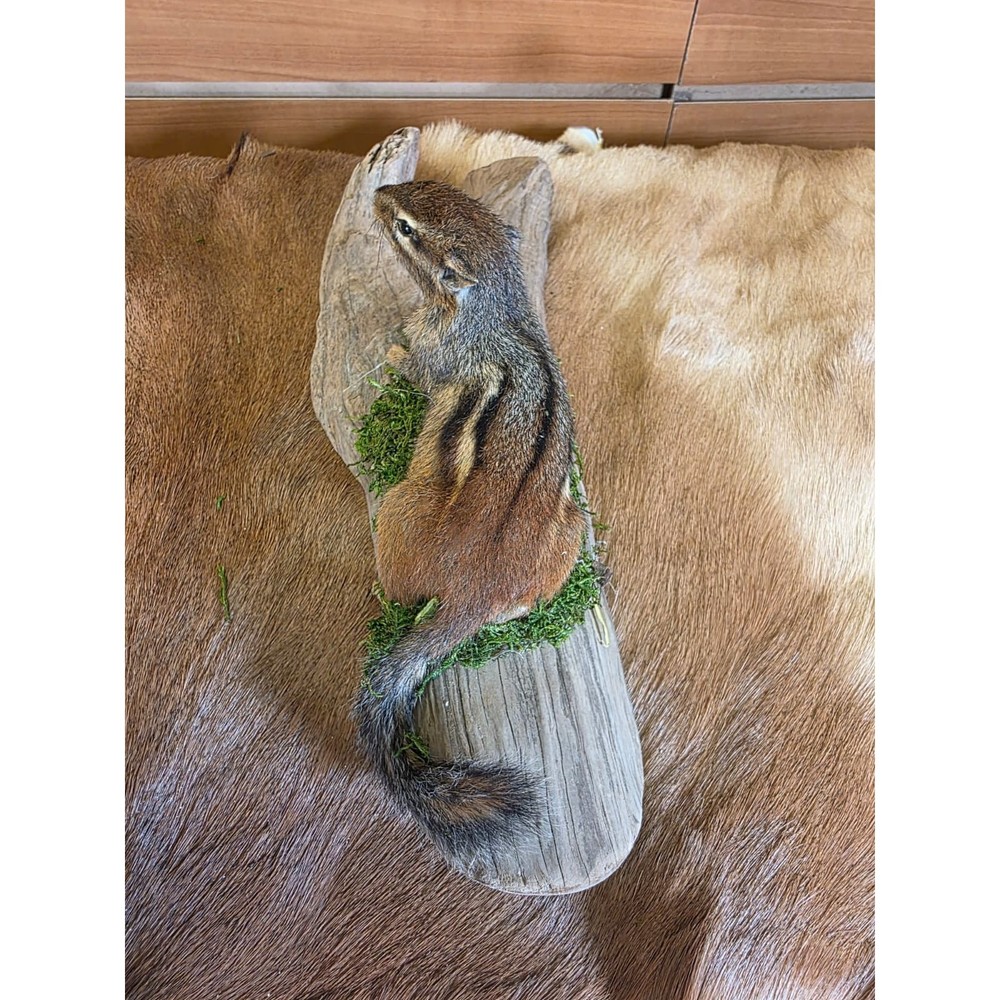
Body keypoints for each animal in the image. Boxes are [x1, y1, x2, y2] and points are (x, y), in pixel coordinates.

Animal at [355, 180, 586, 862]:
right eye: (424, 189)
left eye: (405, 229)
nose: (381, 194)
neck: (497, 308)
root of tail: (471, 594)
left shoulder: (436, 354)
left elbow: (411, 363)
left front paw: (392, 347)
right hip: (568, 530)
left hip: (398, 509)